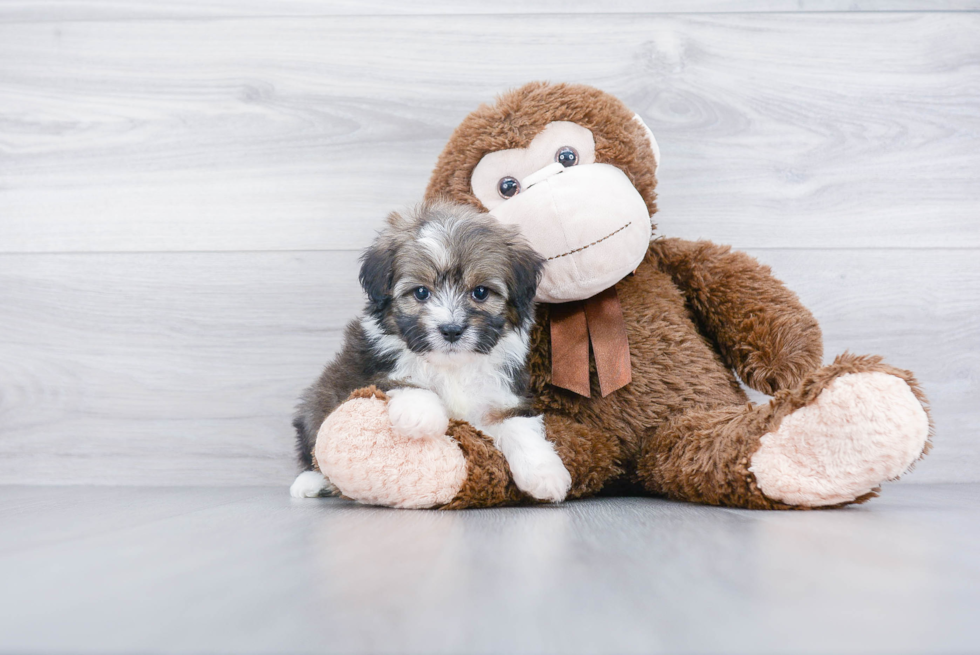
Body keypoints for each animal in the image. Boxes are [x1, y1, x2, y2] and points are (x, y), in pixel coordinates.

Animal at [288, 202, 572, 504]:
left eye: (481, 292)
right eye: (421, 293)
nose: (451, 329)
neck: (452, 367)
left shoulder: (503, 397)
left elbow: (518, 425)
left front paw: (545, 474)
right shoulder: (369, 370)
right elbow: (401, 380)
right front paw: (420, 414)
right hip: (317, 400)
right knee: (314, 444)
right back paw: (310, 481)